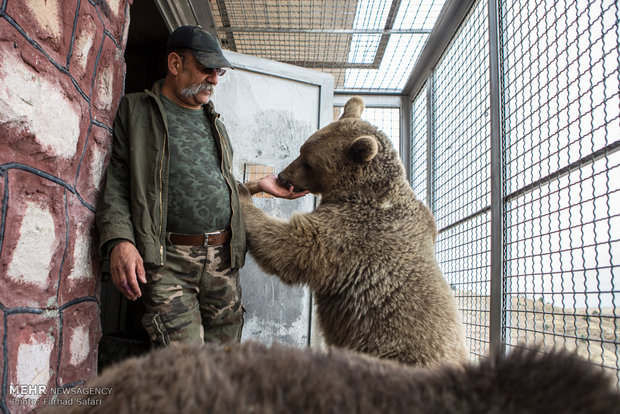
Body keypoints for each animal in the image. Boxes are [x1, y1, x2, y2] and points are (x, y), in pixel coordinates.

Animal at [240, 94, 468, 366]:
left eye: (308, 161)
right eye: (302, 150)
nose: (283, 177)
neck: (360, 191)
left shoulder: (354, 233)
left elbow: (296, 245)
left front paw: (242, 198)